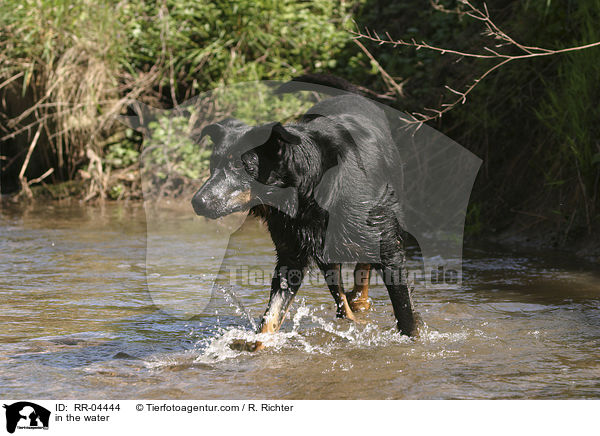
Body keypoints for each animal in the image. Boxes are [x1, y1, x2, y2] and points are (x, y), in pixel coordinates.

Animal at [192, 79, 418, 350]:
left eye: (240, 166)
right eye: (212, 165)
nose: (197, 202)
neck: (306, 191)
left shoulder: (389, 247)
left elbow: (405, 312)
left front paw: (413, 341)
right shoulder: (291, 256)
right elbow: (271, 318)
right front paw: (257, 347)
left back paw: (360, 301)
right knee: (340, 298)